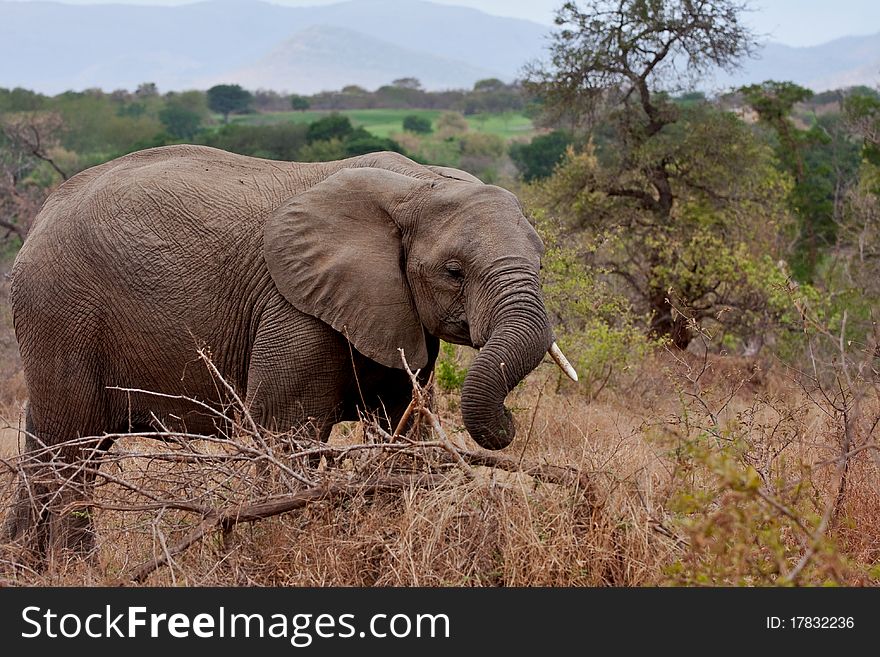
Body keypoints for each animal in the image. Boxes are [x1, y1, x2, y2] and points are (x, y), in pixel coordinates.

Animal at [5, 146, 576, 556]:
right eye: (453, 272)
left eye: (541, 264)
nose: (508, 427)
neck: (418, 186)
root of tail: (41, 216)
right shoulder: (296, 309)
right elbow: (288, 433)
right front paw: (271, 548)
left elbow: (402, 431)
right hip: (61, 311)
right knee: (73, 448)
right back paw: (75, 567)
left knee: (48, 440)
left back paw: (25, 564)